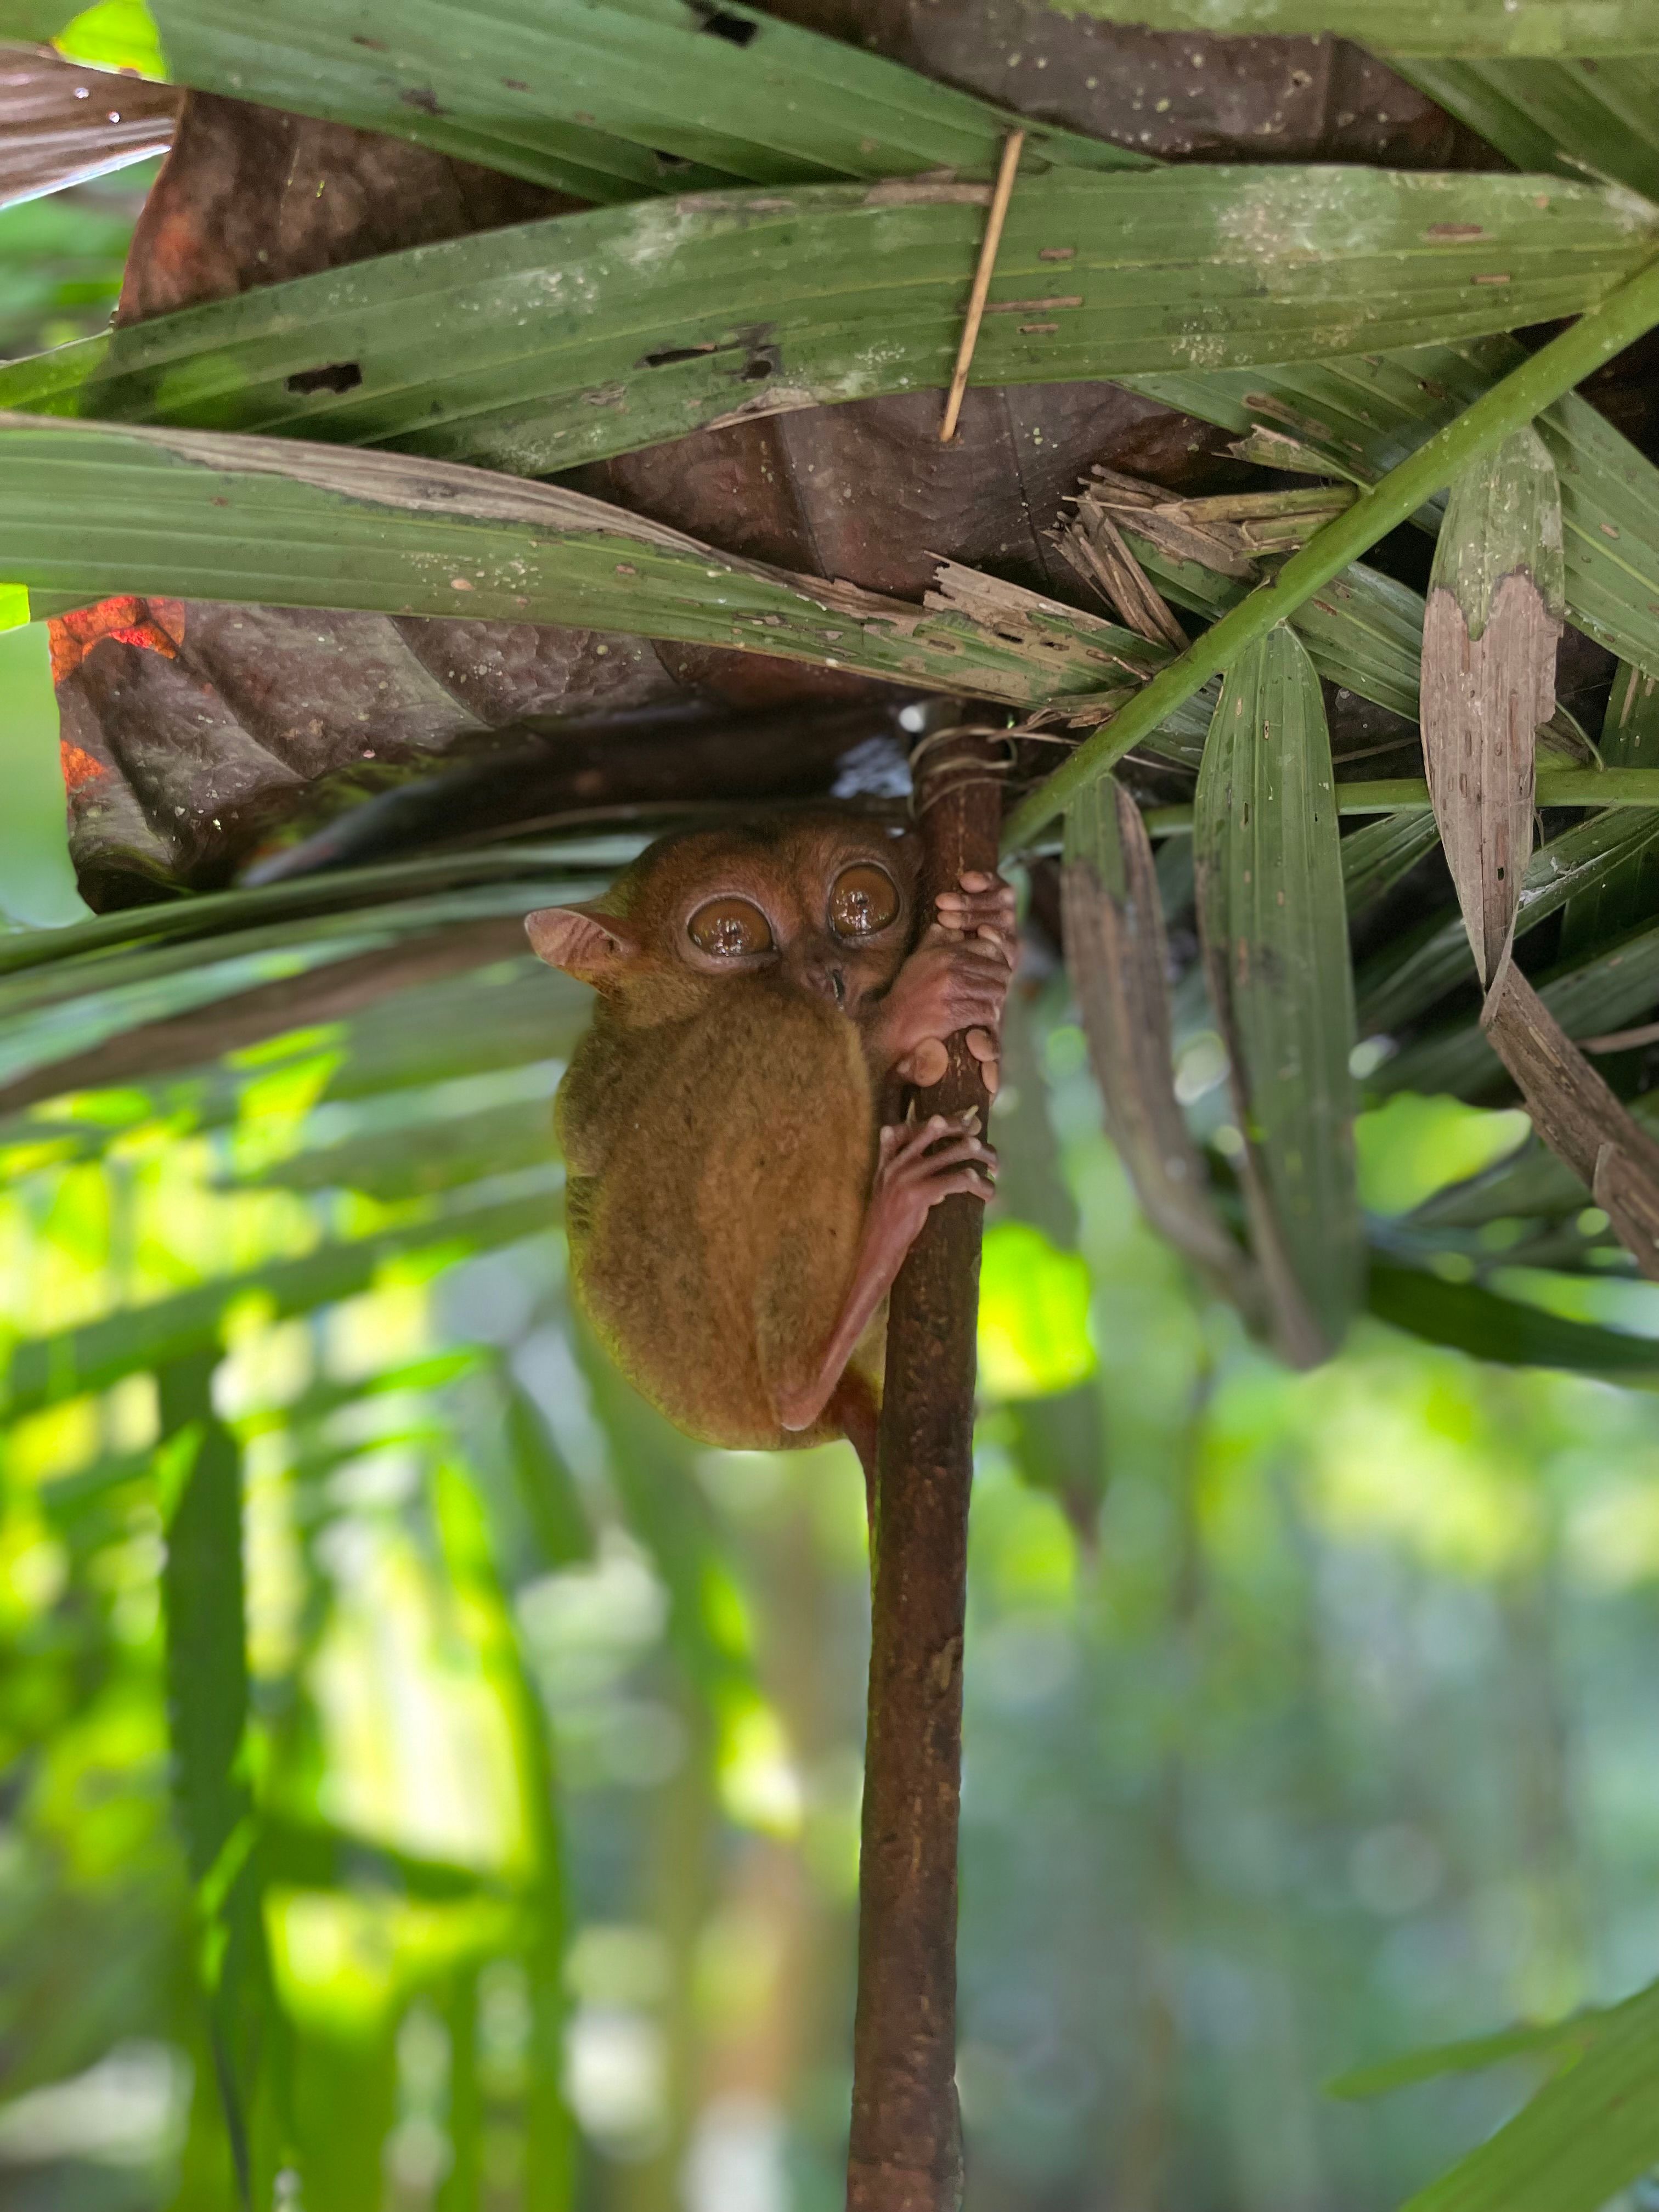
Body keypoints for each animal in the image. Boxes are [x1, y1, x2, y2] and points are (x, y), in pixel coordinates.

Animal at [523, 810, 1016, 1482]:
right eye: (731, 935)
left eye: (861, 905)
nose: (829, 978)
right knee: (788, 1020)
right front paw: (918, 1004)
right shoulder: (622, 1076)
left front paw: (998, 930)